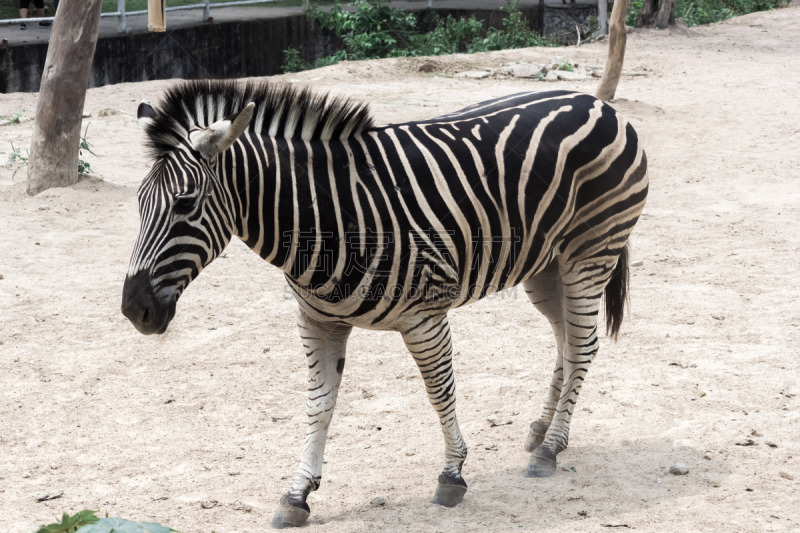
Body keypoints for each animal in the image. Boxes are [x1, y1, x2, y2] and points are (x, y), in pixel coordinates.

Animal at [122, 80, 648, 528]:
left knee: (582, 346)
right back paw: (542, 429)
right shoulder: (316, 320)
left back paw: (550, 450)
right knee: (565, 340)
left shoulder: (425, 317)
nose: (133, 310)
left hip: (590, 253)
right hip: (544, 266)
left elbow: (440, 393)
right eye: (140, 203)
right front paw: (297, 494)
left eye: (185, 203)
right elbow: (319, 406)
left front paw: (452, 474)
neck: (331, 217)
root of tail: (596, 102)